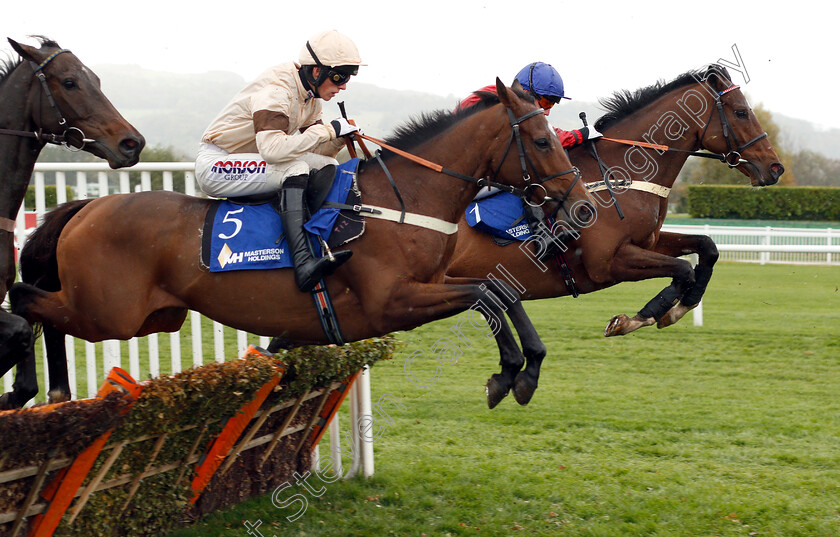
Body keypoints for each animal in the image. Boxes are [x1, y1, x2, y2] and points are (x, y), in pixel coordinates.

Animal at [8, 78, 596, 406]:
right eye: (542, 139)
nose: (582, 206)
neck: (406, 199)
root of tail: (86, 207)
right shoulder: (393, 302)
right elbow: (486, 294)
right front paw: (511, 372)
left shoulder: (435, 282)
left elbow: (501, 293)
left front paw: (523, 370)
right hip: (108, 313)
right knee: (25, 299)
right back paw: (29, 388)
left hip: (153, 316)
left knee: (41, 308)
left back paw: (52, 393)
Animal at [450, 62, 784, 406]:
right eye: (741, 112)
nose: (775, 168)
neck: (620, 176)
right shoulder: (606, 263)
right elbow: (682, 268)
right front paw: (642, 317)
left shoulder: (648, 242)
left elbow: (707, 248)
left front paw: (680, 307)